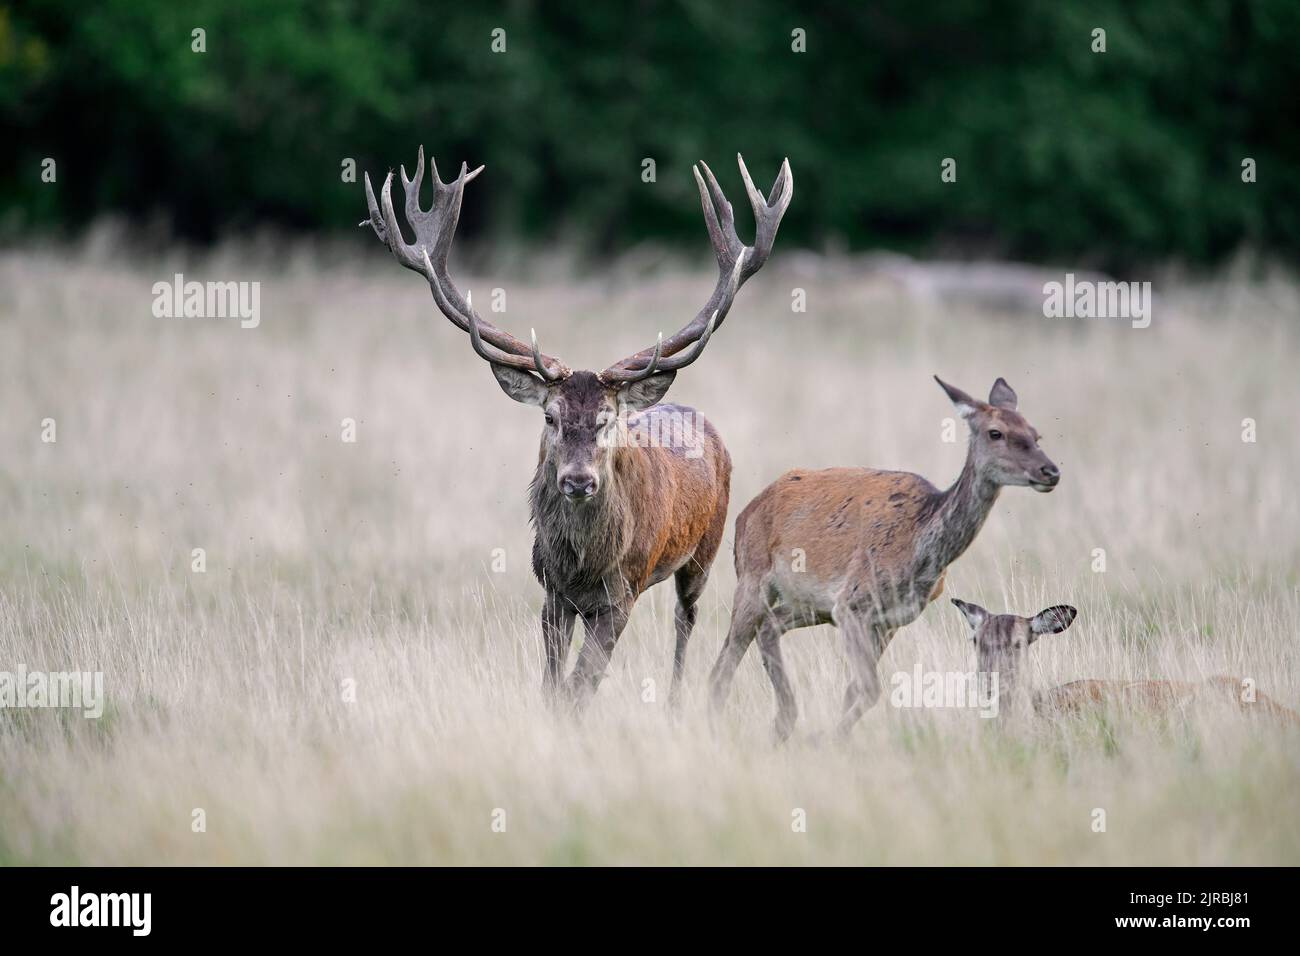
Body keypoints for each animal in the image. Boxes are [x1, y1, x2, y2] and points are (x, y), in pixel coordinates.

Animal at [712, 374, 1055, 738]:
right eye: (995, 432)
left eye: (1035, 433)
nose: (1051, 471)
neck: (920, 552)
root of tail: (745, 512)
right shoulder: (851, 603)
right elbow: (869, 688)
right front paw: (829, 738)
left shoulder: (890, 619)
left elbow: (855, 689)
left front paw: (836, 736)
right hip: (752, 578)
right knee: (724, 664)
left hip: (806, 604)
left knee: (768, 627)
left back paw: (783, 722)